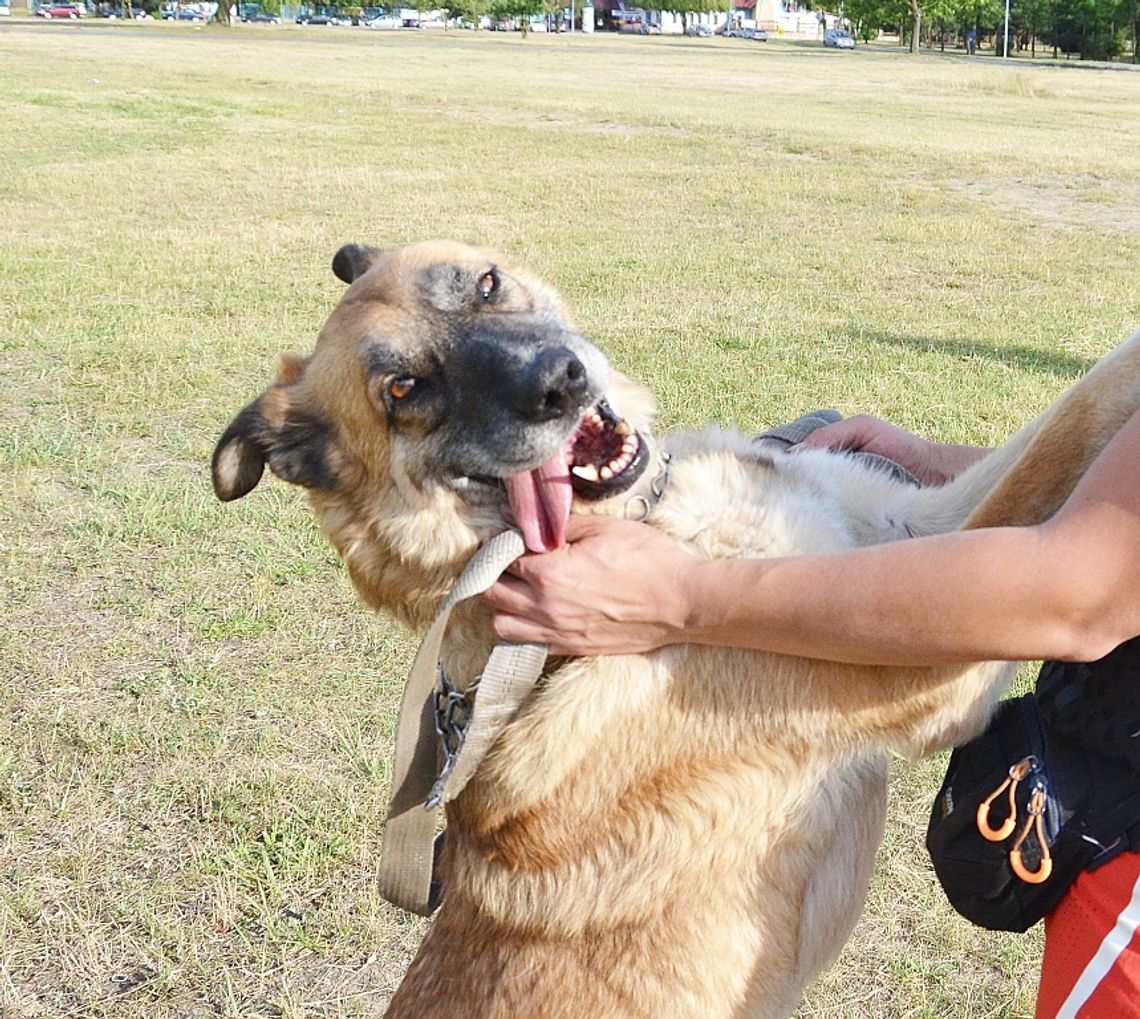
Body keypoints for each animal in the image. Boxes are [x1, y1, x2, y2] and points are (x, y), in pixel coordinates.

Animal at [212, 241, 1140, 1019]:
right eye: (404, 391)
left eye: (487, 283)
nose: (561, 381)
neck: (653, 518)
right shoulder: (936, 667)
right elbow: (1084, 409)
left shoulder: (910, 526)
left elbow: (1067, 412)